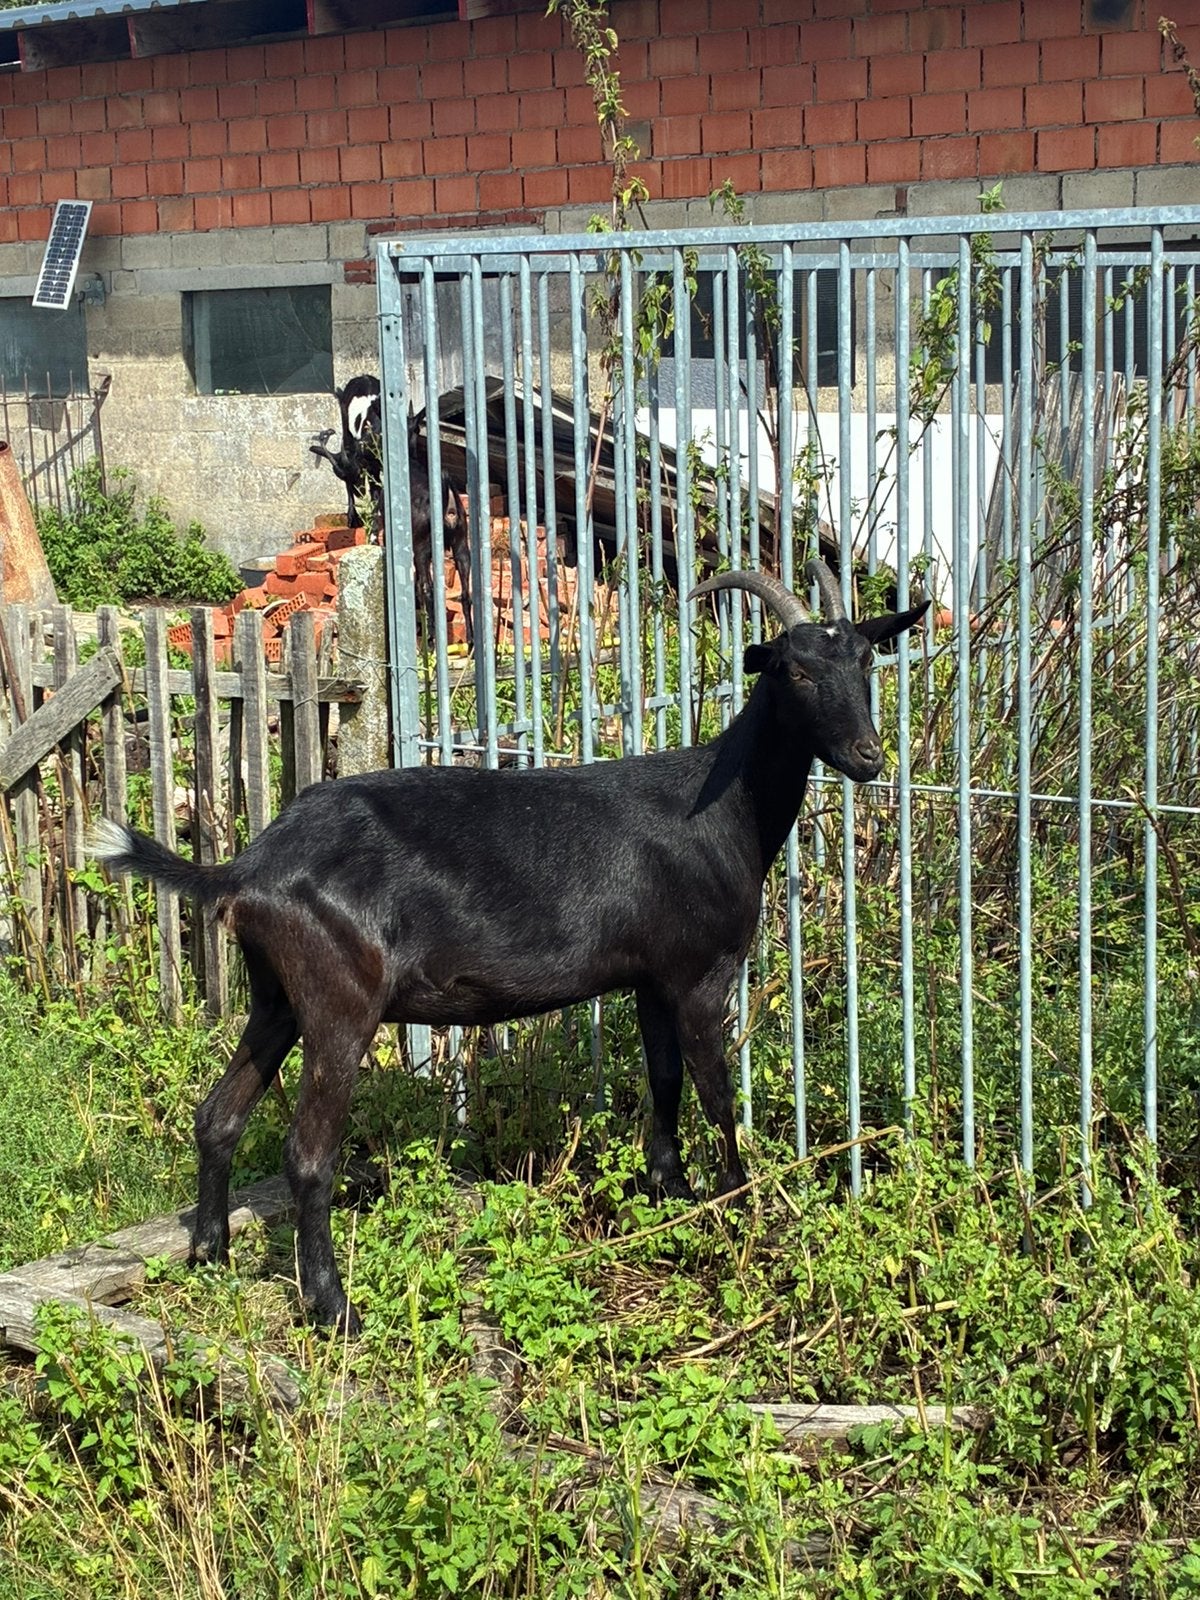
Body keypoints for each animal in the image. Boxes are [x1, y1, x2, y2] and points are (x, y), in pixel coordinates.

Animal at [91, 561, 927, 1334]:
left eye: (866, 659)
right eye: (795, 669)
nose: (868, 756)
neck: (724, 809)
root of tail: (245, 868)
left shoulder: (650, 976)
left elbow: (663, 1084)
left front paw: (672, 1194)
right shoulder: (699, 973)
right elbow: (717, 1094)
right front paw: (736, 1203)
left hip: (275, 995)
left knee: (218, 1114)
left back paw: (209, 1254)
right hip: (338, 1000)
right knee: (306, 1154)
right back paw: (332, 1308)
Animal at [310, 375, 473, 649]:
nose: (364, 448)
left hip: (424, 546)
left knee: (428, 587)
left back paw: (431, 638)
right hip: (461, 544)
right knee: (465, 592)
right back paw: (469, 640)